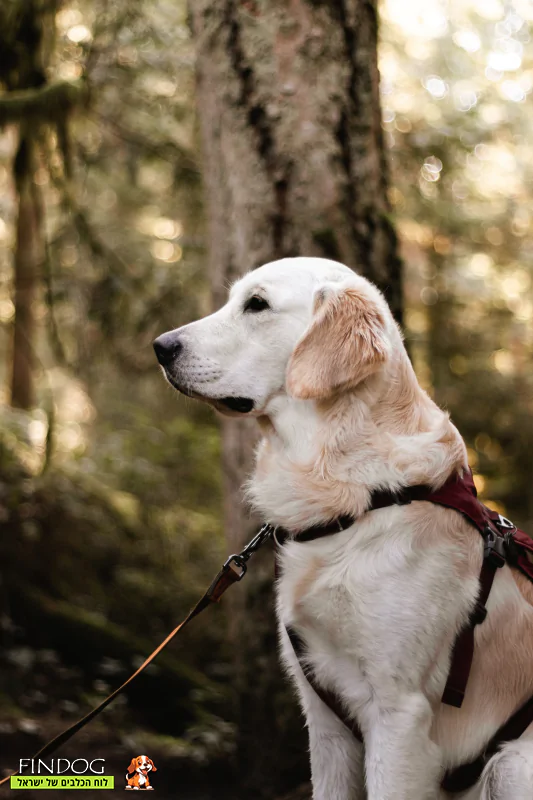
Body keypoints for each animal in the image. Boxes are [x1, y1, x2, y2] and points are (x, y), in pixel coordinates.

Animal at [153, 260, 532, 796]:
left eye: (256, 304)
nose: (160, 346)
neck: (358, 495)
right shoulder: (323, 715)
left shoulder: (398, 714)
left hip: (511, 762)